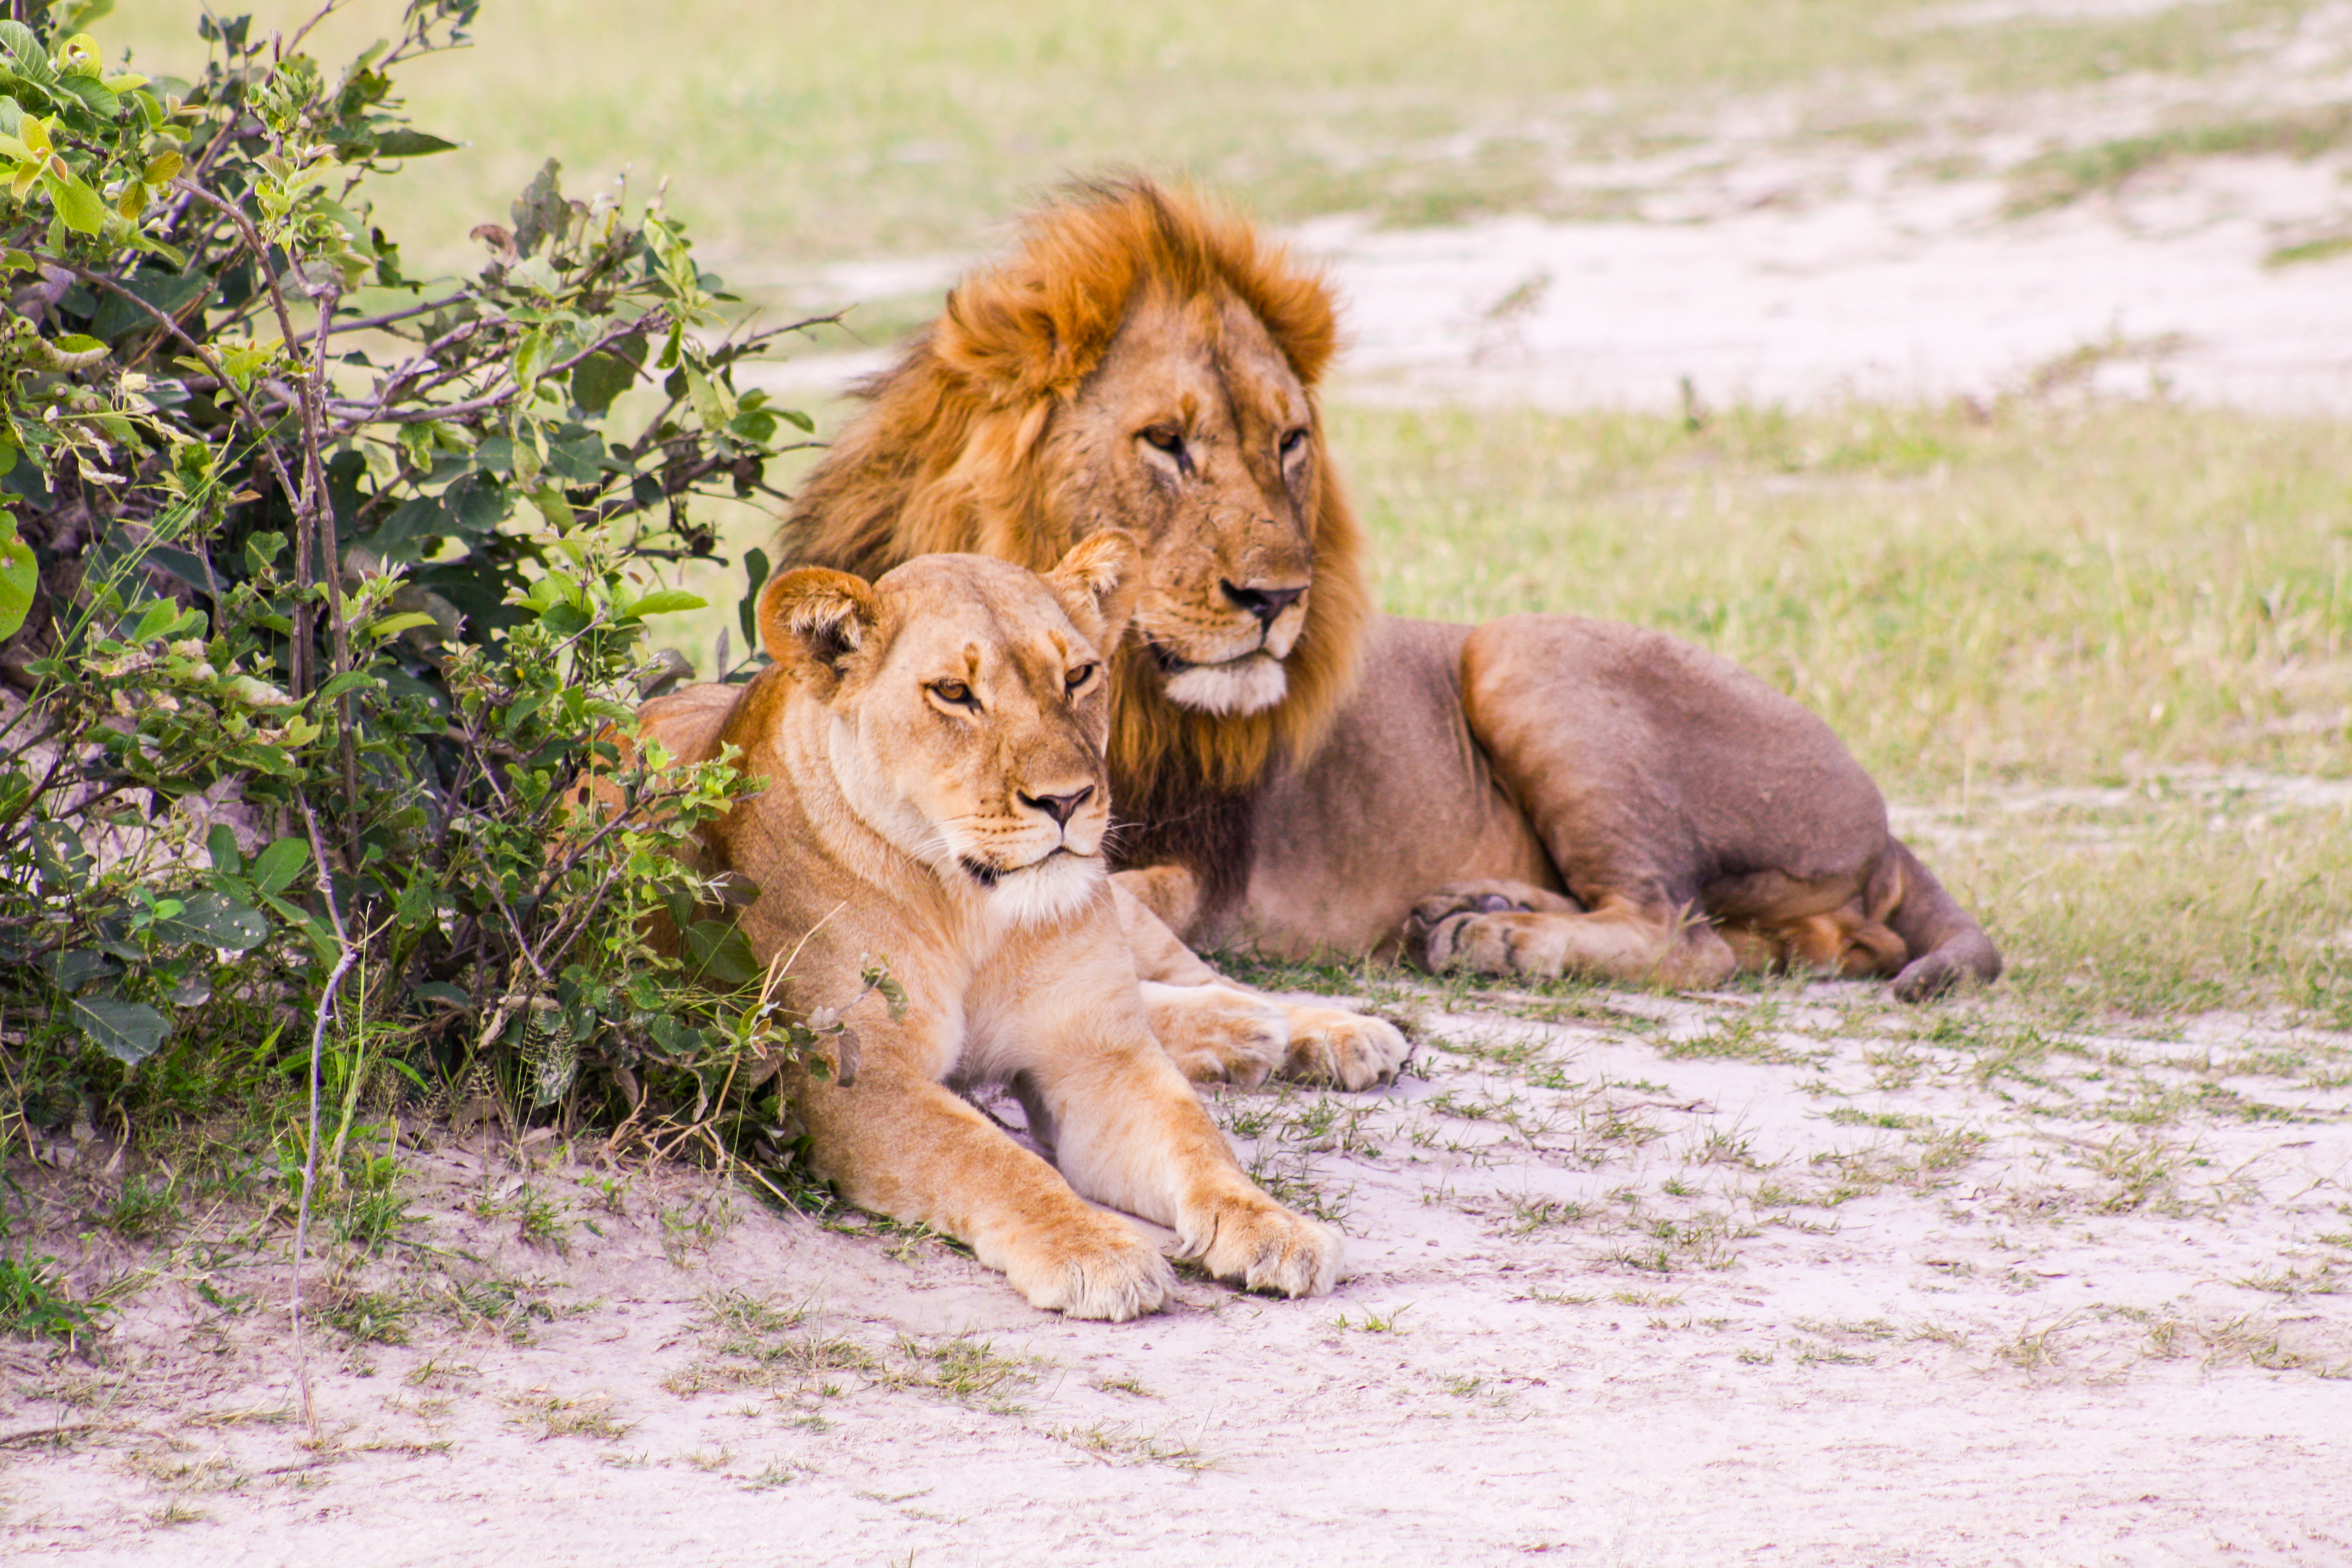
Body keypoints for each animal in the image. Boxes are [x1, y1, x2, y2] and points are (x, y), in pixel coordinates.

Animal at [621, 534, 1345, 1316]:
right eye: (954, 693)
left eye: (1080, 675)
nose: (1068, 800)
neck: (973, 912)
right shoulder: (851, 1078)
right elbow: (990, 1160)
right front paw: (1093, 1248)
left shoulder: (1099, 1054)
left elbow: (1197, 1142)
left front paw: (1274, 1227)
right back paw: (1247, 1035)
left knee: (1192, 977)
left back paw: (1311, 1031)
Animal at [780, 181, 1994, 1030]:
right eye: (1166, 443)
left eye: (1289, 443)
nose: (1278, 597)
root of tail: (1887, 822)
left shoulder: (1193, 860)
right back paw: (1476, 907)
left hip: (1520, 653)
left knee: (1683, 933)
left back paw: (1495, 940)